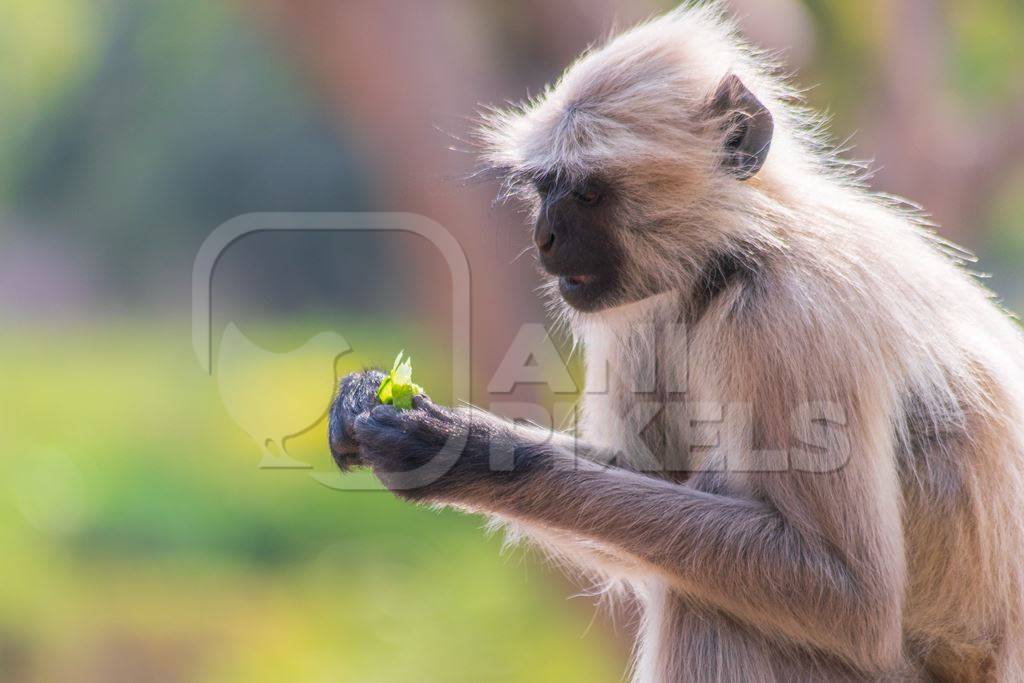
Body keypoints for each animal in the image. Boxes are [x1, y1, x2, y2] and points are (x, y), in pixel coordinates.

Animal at [329, 3, 1024, 679]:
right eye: (544, 187)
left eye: (586, 192)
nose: (543, 237)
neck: (744, 251)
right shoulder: (647, 310)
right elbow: (646, 478)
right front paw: (371, 399)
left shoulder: (792, 318)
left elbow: (853, 596)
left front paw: (464, 449)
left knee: (713, 597)